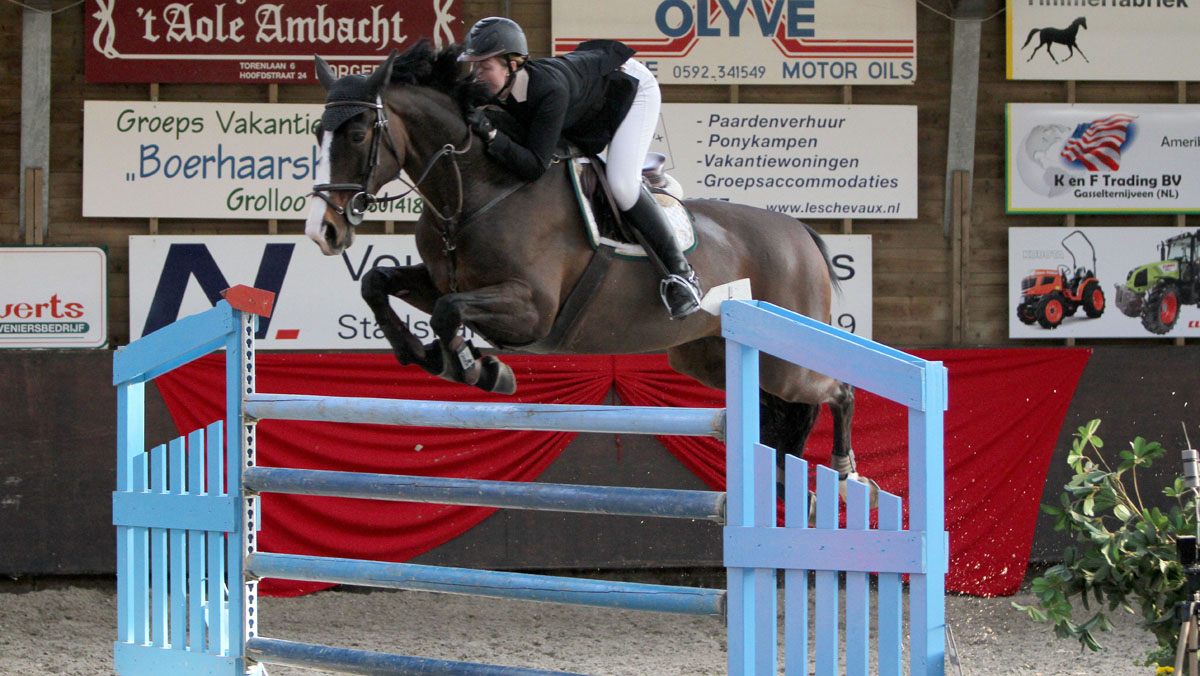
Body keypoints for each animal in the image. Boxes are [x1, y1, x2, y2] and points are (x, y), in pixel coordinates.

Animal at [304, 39, 873, 499]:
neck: (475, 190)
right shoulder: (444, 278)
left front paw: (476, 368)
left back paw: (847, 473)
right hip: (705, 358)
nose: (322, 232)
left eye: (358, 134)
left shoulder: (531, 310)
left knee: (839, 391)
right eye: (317, 133)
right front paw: (425, 355)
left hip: (785, 365)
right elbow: (379, 282)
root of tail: (800, 234)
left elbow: (448, 312)